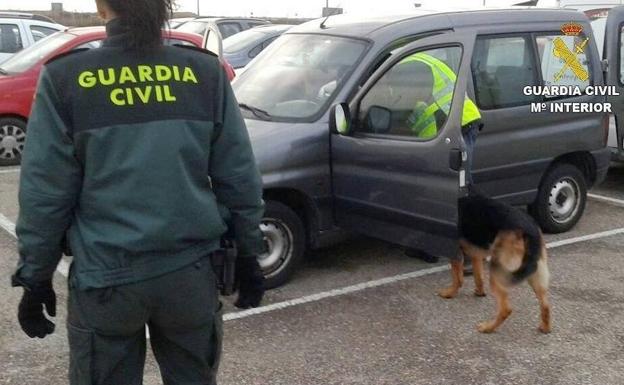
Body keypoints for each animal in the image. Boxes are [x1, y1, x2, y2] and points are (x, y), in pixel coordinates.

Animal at [438, 194, 552, 332]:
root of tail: (529, 230)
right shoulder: (476, 255)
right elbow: (478, 277)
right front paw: (480, 292)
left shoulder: (457, 255)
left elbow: (457, 279)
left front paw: (450, 293)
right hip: (534, 273)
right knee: (546, 304)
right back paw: (545, 327)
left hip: (499, 273)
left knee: (506, 309)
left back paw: (488, 327)